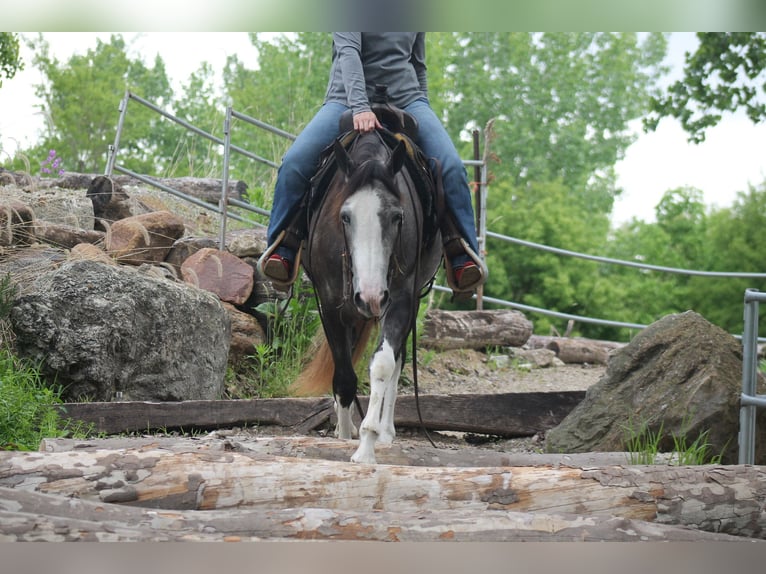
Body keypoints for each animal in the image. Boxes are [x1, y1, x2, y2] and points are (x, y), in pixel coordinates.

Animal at [291, 127, 442, 464]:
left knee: (398, 362)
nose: (370, 297)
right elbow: (345, 378)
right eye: (345, 217)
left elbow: (384, 364)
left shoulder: (400, 299)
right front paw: (343, 437)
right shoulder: (329, 303)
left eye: (397, 216)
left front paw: (367, 445)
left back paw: (386, 432)